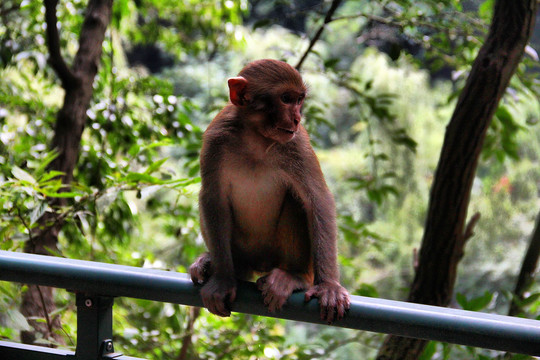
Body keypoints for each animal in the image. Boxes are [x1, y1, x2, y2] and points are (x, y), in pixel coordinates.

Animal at [190, 59, 350, 324]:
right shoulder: (216, 138)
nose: (296, 118)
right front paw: (223, 280)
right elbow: (213, 198)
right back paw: (220, 265)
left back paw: (294, 277)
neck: (256, 138)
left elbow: (317, 200)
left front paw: (329, 286)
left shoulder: (297, 144)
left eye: (299, 99)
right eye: (285, 98)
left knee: (296, 202)